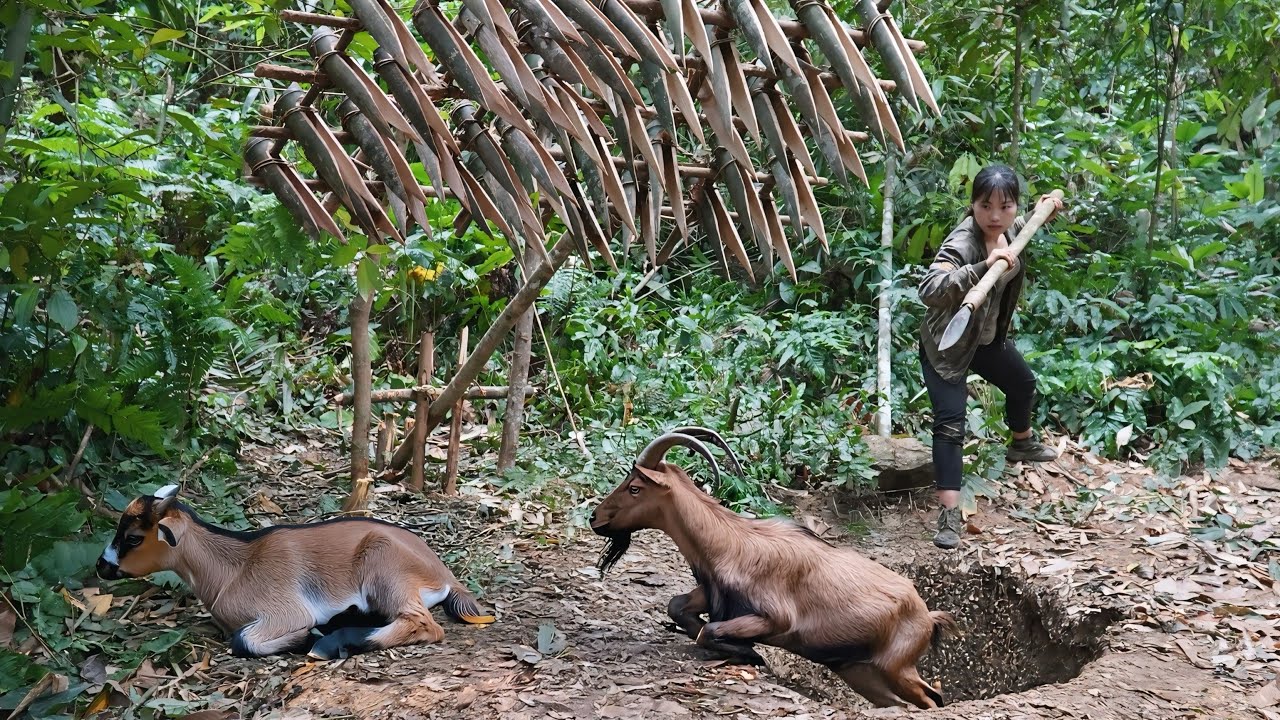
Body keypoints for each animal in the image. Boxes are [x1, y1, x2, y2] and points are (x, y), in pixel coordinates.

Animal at [96, 485, 493, 659]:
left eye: (133, 538)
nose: (101, 566)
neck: (233, 568)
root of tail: (444, 573)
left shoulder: (285, 612)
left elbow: (244, 641)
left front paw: (308, 636)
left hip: (384, 567)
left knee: (425, 625)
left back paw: (329, 642)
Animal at [590, 427, 960, 709]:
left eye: (634, 487)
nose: (595, 518)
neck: (729, 541)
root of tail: (927, 616)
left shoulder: (773, 619)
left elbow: (709, 631)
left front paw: (751, 654)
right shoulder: (714, 594)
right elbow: (678, 607)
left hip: (896, 668)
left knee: (931, 700)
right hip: (861, 671)